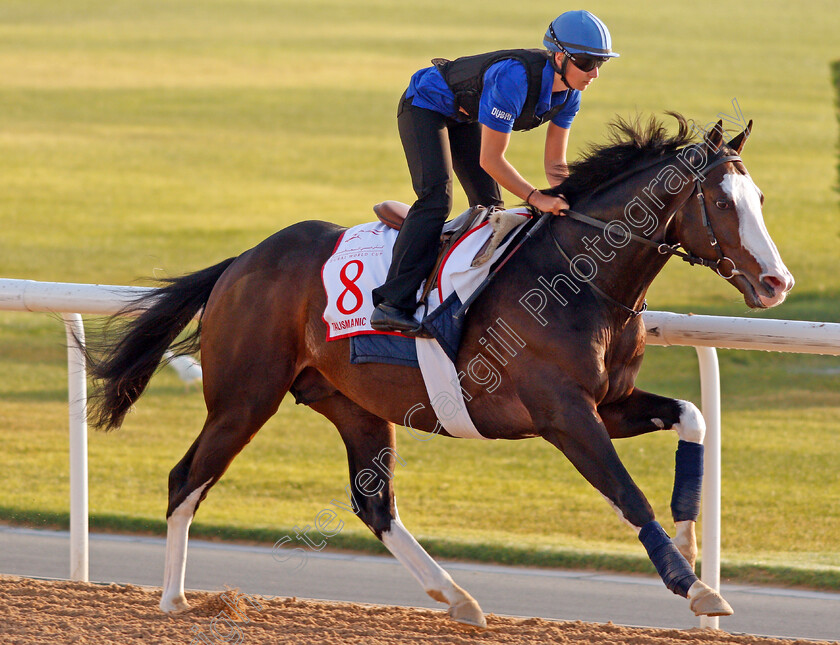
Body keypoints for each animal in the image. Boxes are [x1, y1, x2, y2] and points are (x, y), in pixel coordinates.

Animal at [87, 113, 796, 628]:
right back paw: (174, 601)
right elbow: (627, 492)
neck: (577, 281)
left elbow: (693, 416)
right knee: (187, 478)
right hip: (244, 397)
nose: (776, 282)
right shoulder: (564, 414)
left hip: (353, 404)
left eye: (761, 197)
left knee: (373, 503)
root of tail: (240, 262)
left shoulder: (608, 402)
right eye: (721, 203)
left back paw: (458, 598)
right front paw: (693, 587)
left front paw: (691, 540)